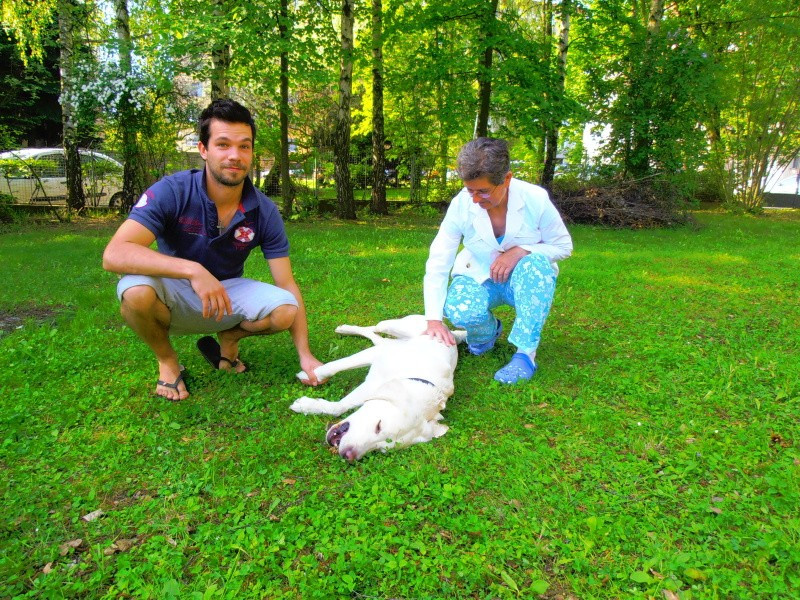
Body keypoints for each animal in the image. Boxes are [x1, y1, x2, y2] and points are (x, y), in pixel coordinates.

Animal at [290, 315, 466, 461]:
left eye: (381, 449)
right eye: (379, 426)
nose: (349, 455)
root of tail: (449, 332)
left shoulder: (370, 387)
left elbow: (338, 407)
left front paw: (308, 405)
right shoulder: (375, 358)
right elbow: (333, 367)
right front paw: (311, 375)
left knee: (376, 337)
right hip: (392, 326)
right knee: (375, 328)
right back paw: (346, 328)